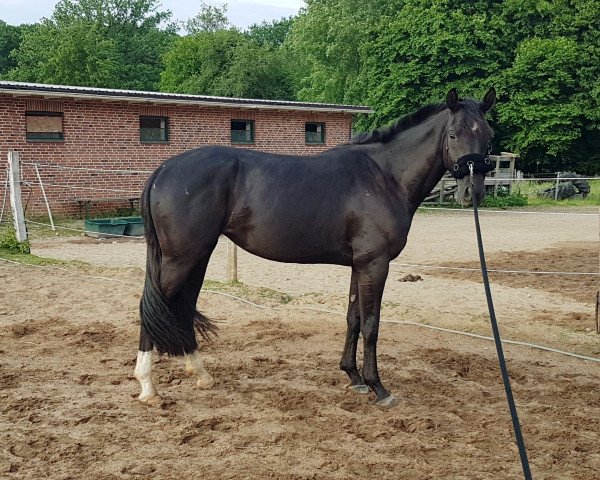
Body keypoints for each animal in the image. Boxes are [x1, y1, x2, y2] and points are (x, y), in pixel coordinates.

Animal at [136, 88, 496, 406]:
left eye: (488, 135)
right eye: (453, 134)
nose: (473, 192)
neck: (384, 176)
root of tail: (164, 169)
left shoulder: (359, 265)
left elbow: (353, 318)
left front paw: (354, 377)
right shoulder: (375, 264)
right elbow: (372, 324)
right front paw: (378, 387)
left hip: (197, 257)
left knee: (181, 307)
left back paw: (200, 374)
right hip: (181, 259)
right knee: (151, 306)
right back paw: (148, 387)